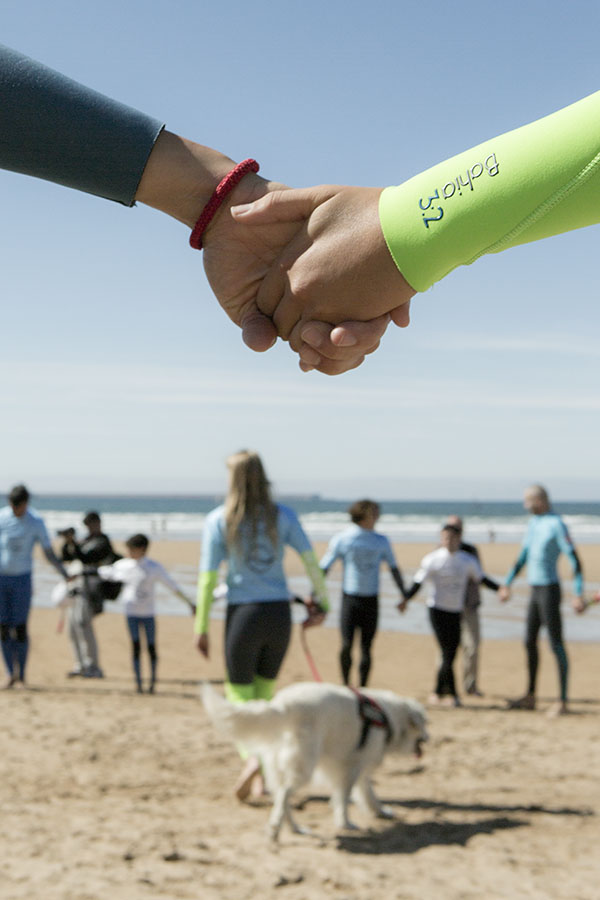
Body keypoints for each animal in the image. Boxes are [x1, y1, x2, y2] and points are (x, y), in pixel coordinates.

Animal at [202, 684, 426, 844]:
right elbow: (344, 798)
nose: (428, 738)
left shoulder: (360, 766)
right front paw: (345, 823)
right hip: (304, 766)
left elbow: (367, 794)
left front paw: (380, 812)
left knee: (282, 797)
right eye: (425, 724)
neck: (389, 716)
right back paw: (276, 829)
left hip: (280, 767)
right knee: (284, 794)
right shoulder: (351, 766)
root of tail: (283, 705)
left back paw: (294, 828)